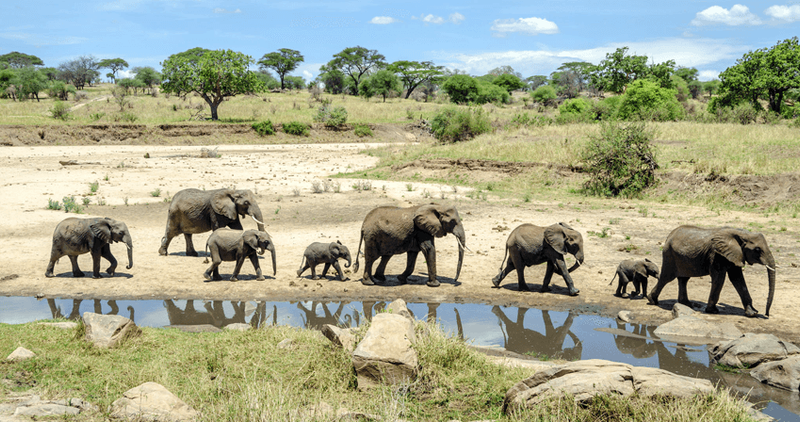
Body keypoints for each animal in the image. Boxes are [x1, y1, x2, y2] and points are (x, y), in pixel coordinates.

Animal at [646, 225, 776, 318]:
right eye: (757, 249)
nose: (766, 314)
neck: (741, 233)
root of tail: (669, 235)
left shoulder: (735, 254)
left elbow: (737, 279)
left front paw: (753, 313)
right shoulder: (716, 254)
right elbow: (719, 278)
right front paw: (712, 311)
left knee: (684, 279)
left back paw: (686, 304)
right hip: (669, 254)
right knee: (666, 277)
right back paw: (652, 300)